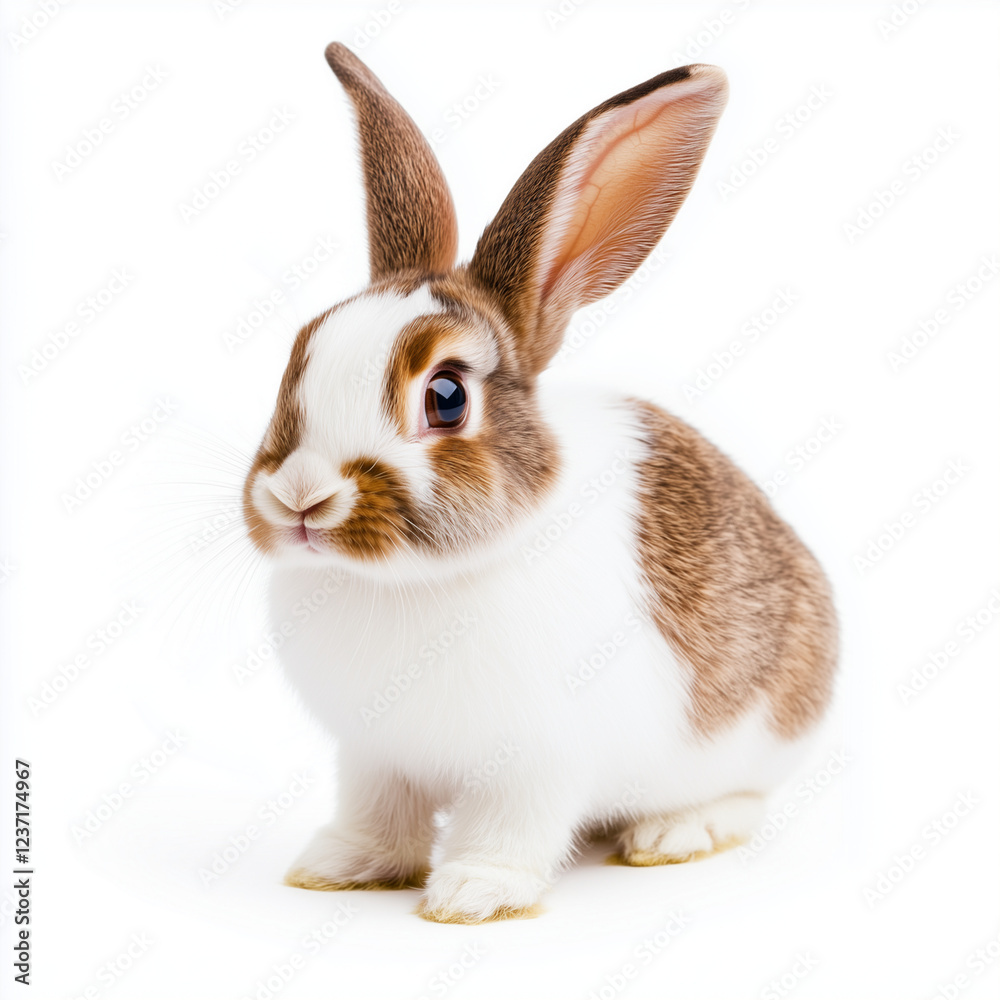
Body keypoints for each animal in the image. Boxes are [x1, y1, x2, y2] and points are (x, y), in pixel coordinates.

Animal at [241, 42, 838, 924]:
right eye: (299, 352)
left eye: (446, 396)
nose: (299, 498)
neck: (404, 583)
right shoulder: (374, 756)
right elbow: (378, 814)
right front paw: (341, 865)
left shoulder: (536, 763)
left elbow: (510, 830)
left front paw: (473, 893)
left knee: (745, 799)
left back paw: (674, 834)